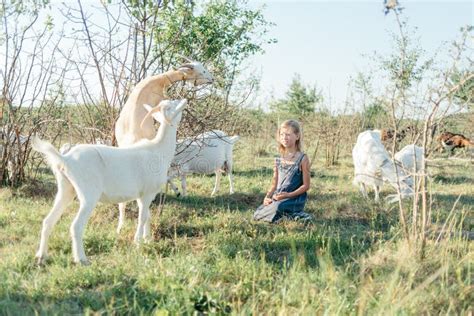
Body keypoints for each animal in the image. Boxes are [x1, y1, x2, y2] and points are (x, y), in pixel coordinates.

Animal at [32, 100, 187, 266]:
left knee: (48, 221)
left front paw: (148, 240)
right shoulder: (147, 193)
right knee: (76, 226)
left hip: (66, 189)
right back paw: (81, 259)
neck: (158, 149)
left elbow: (147, 216)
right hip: (88, 195)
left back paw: (41, 256)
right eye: (171, 106)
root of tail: (65, 159)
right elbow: (142, 217)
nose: (184, 101)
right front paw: (138, 243)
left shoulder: (143, 195)